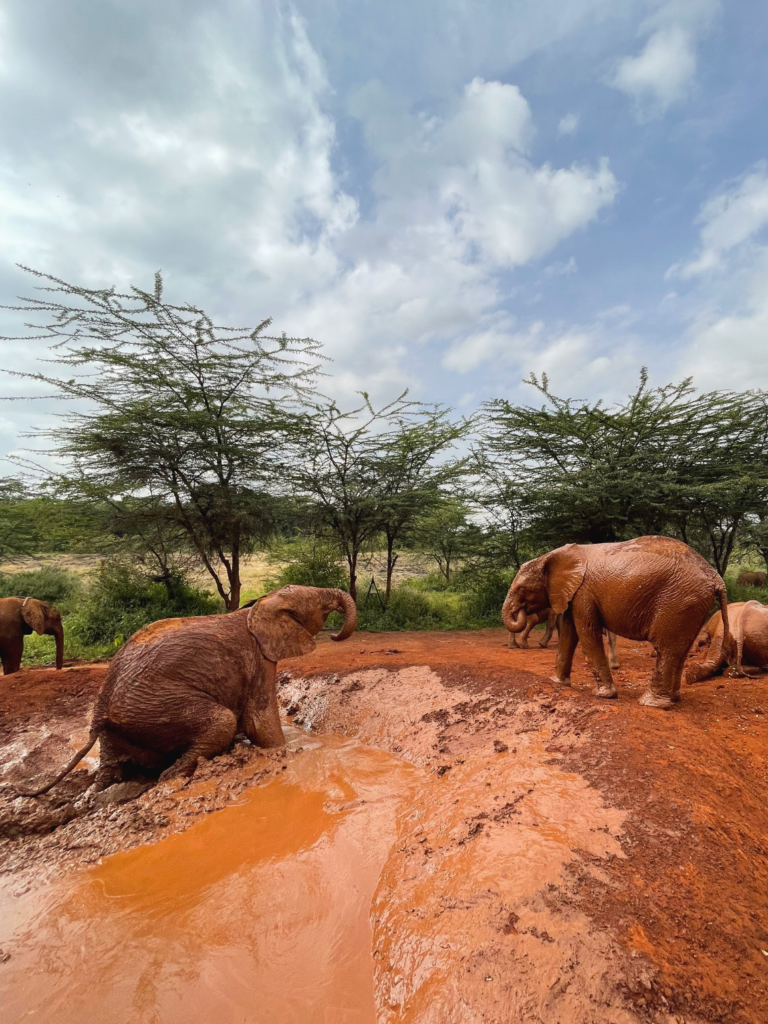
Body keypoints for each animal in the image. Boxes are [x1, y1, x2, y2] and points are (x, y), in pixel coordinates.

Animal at [21, 585, 358, 798]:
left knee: (110, 766)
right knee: (221, 721)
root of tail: (101, 708)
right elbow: (258, 721)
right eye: (323, 607)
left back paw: (101, 791)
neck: (260, 605)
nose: (335, 635)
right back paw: (171, 776)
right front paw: (283, 752)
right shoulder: (259, 658)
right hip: (152, 706)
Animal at [505, 536, 733, 712]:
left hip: (678, 601)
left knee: (666, 649)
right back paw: (673, 699)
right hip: (693, 606)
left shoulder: (584, 593)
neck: (552, 556)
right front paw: (556, 683)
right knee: (681, 650)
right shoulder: (575, 595)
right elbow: (569, 633)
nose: (520, 611)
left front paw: (603, 695)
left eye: (522, 589)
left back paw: (651, 704)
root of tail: (716, 577)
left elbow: (586, 633)